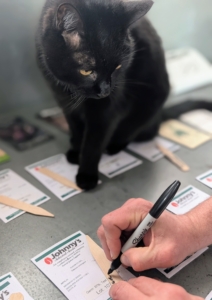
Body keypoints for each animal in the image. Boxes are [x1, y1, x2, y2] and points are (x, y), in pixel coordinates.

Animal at [36, 0, 210, 190]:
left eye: (118, 67)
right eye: (87, 71)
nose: (105, 90)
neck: (72, 91)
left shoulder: (106, 110)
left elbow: (93, 143)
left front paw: (86, 175)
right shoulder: (63, 101)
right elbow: (75, 128)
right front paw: (75, 152)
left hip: (149, 103)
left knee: (132, 129)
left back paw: (113, 146)